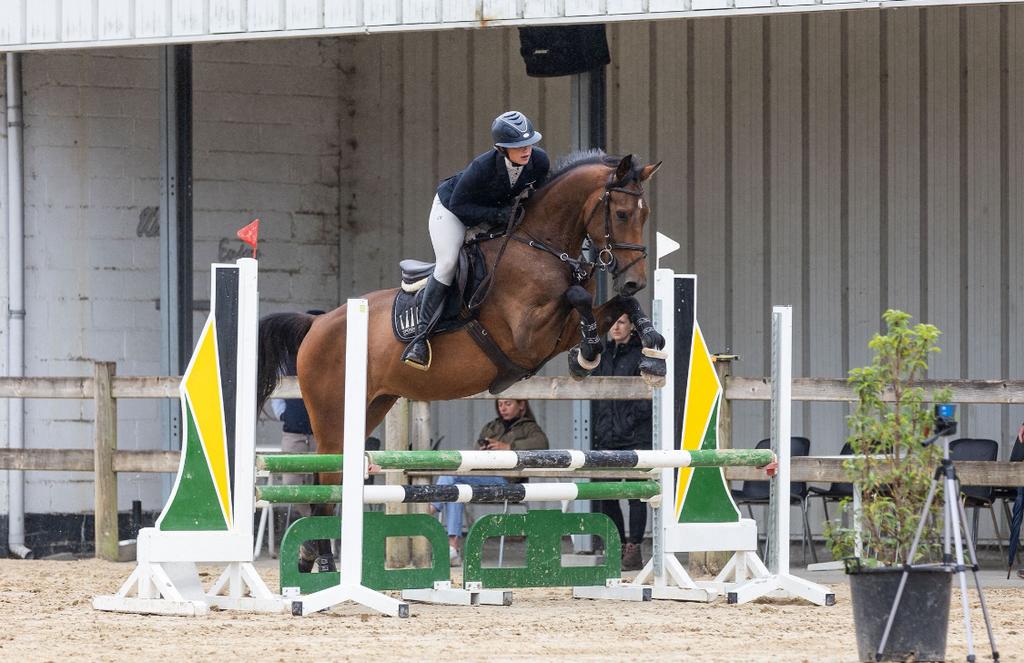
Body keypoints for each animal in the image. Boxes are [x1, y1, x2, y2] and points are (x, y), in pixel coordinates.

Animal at [257, 151, 665, 571]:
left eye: (645, 214)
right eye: (621, 213)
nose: (635, 280)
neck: (541, 247)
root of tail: (317, 323)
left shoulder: (556, 331)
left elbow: (616, 305)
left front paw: (647, 350)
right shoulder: (526, 336)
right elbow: (577, 297)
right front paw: (588, 354)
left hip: (371, 406)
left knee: (332, 477)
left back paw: (310, 556)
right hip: (330, 412)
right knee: (325, 475)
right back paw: (322, 562)